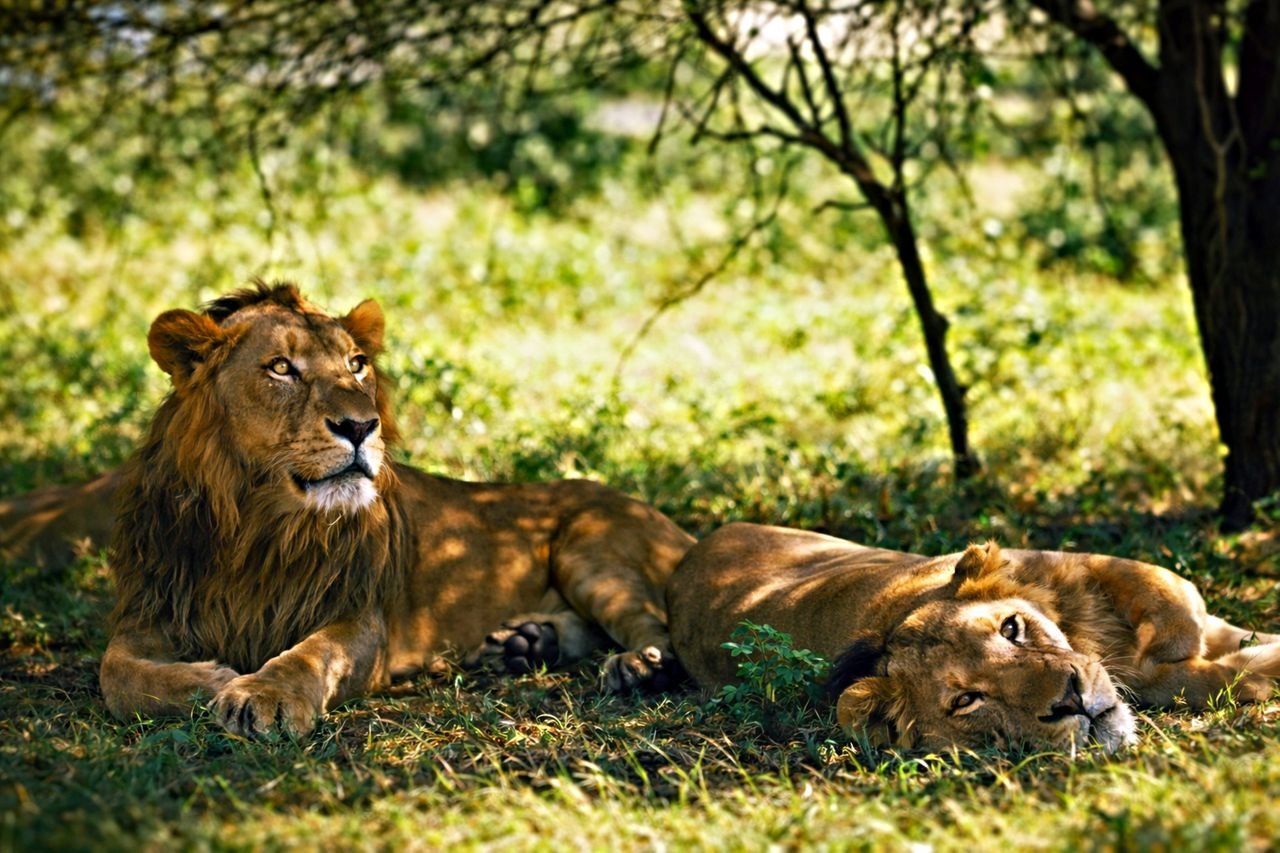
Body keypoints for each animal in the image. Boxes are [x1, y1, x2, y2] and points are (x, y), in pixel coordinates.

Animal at [8, 282, 695, 736]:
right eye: (281, 368)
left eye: (357, 365)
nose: (361, 426)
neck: (256, 526)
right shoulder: (151, 609)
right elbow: (117, 675)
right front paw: (211, 680)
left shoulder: (360, 618)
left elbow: (312, 654)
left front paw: (261, 692)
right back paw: (525, 644)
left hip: (591, 544)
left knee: (660, 628)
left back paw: (635, 668)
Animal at [668, 523, 1280, 753]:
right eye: (968, 700)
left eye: (1011, 629)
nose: (1072, 701)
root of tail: (694, 552)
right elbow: (1203, 678)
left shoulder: (1071, 564)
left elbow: (1159, 588)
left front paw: (1183, 628)